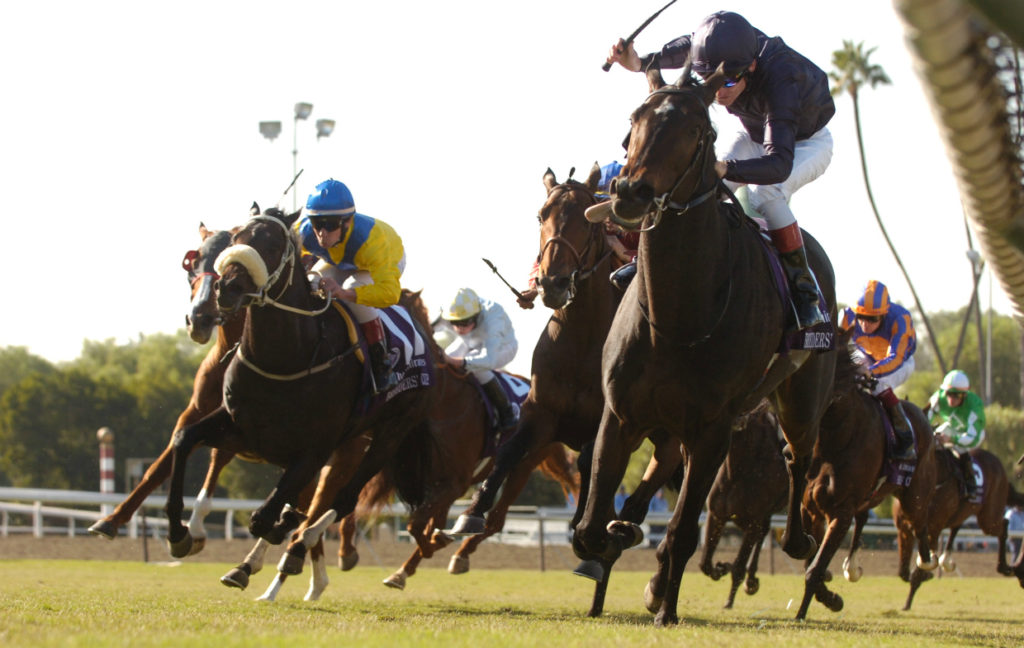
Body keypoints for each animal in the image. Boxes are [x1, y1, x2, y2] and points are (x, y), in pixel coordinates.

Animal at [700, 401, 786, 610]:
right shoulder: (716, 515)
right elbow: (705, 562)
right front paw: (721, 568)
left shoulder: (753, 520)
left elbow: (738, 566)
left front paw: (729, 601)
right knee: (764, 532)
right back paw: (751, 580)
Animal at [794, 341, 937, 618]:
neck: (835, 437)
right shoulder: (810, 509)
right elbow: (812, 562)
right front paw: (830, 597)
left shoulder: (841, 512)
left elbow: (814, 569)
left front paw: (802, 614)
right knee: (865, 521)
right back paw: (852, 567)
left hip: (914, 494)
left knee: (920, 525)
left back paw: (925, 564)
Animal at [897, 444, 1024, 606]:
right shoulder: (905, 527)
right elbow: (904, 570)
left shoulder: (934, 527)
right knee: (958, 527)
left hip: (989, 517)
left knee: (1002, 526)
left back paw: (1006, 567)